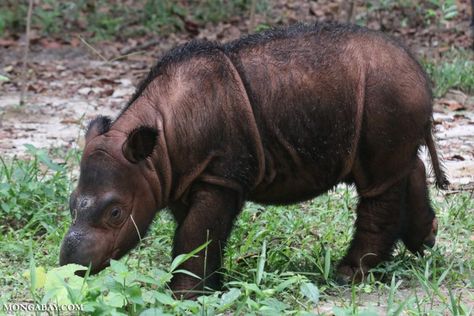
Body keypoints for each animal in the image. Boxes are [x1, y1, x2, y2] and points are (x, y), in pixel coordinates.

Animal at [59, 23, 448, 298]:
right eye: (71, 204)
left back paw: (348, 276)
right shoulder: (180, 177)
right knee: (398, 168)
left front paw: (183, 296)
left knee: (378, 184)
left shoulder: (220, 175)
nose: (72, 268)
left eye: (115, 213)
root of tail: (419, 69)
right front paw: (213, 286)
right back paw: (425, 240)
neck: (155, 153)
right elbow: (200, 236)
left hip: (384, 95)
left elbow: (195, 234)